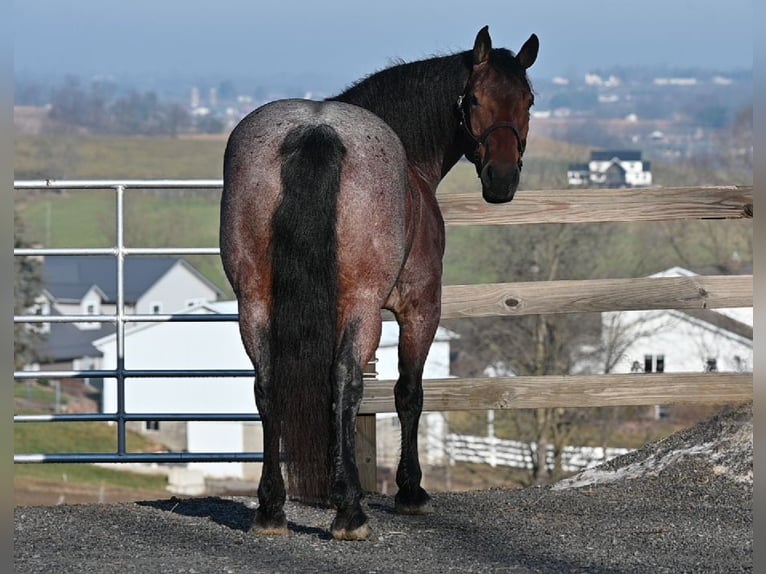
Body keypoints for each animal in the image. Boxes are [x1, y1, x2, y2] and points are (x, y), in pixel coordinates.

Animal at [219, 25, 538, 541]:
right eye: (474, 99)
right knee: (347, 385)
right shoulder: (420, 310)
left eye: (527, 100)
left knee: (267, 387)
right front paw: (410, 491)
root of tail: (316, 132)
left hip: (254, 303)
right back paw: (350, 512)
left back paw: (271, 509)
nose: (502, 178)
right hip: (362, 307)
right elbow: (407, 393)